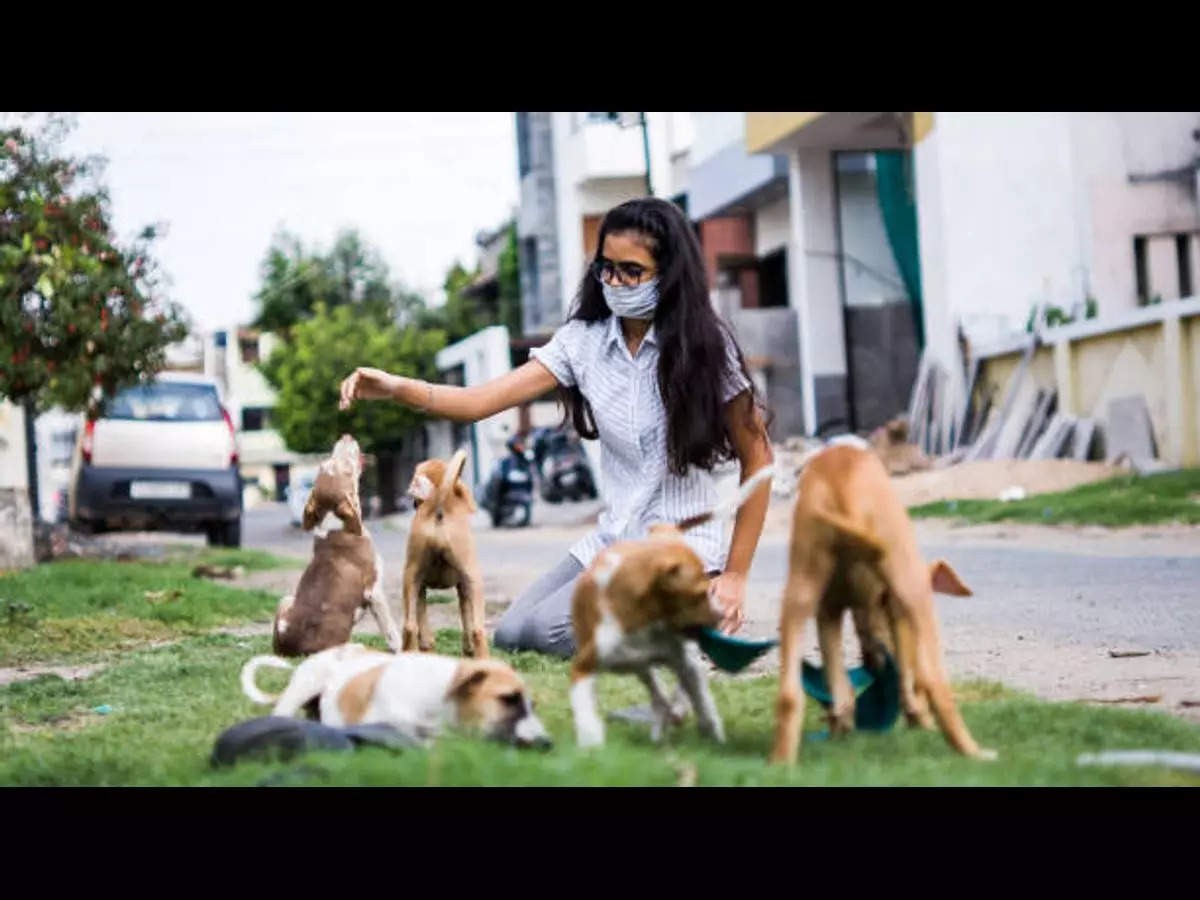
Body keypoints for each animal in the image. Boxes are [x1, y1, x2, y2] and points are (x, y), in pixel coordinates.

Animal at [271, 434, 403, 657]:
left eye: (323, 464)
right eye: (347, 469)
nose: (346, 436)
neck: (336, 523)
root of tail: (294, 648)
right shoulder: (374, 591)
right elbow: (391, 630)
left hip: (286, 599)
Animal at [398, 448, 482, 657]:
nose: (414, 503)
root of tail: (439, 504)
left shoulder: (419, 585)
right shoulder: (464, 586)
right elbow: (467, 622)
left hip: (410, 578)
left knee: (409, 627)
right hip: (474, 579)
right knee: (477, 630)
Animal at [568, 460, 777, 748]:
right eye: (699, 594)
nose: (722, 615)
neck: (643, 623)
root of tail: (667, 532)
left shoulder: (679, 658)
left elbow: (699, 698)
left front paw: (713, 734)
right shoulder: (584, 665)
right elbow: (585, 709)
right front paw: (592, 745)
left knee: (676, 686)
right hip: (640, 666)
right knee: (657, 691)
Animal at [768, 444, 993, 768]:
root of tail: (843, 486)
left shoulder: (830, 611)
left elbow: (843, 691)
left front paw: (841, 722)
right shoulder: (899, 612)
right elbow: (910, 682)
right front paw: (919, 719)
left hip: (801, 584)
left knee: (789, 695)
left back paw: (781, 763)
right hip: (911, 582)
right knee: (935, 682)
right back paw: (973, 752)